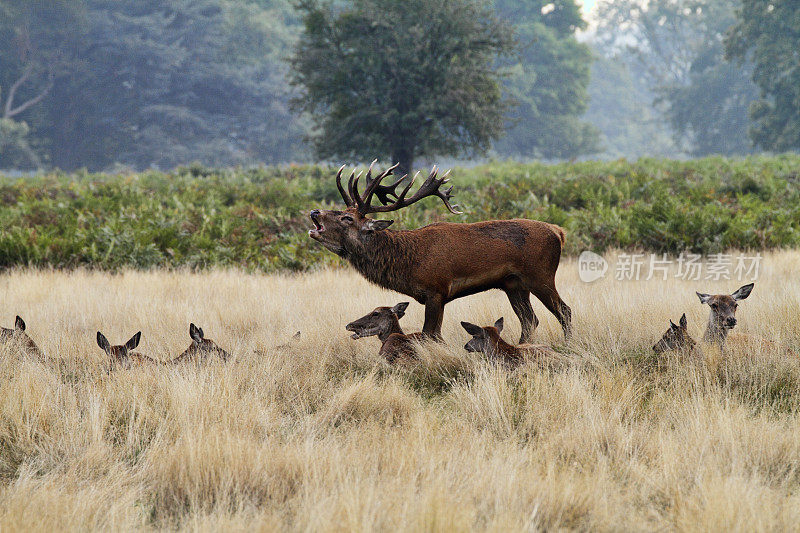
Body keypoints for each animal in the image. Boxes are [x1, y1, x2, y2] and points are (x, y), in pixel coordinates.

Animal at [306, 162, 568, 340]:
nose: (314, 212)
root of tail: (558, 232)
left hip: (541, 275)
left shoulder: (436, 290)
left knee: (563, 311)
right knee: (530, 320)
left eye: (347, 218)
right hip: (513, 284)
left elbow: (429, 334)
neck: (408, 264)